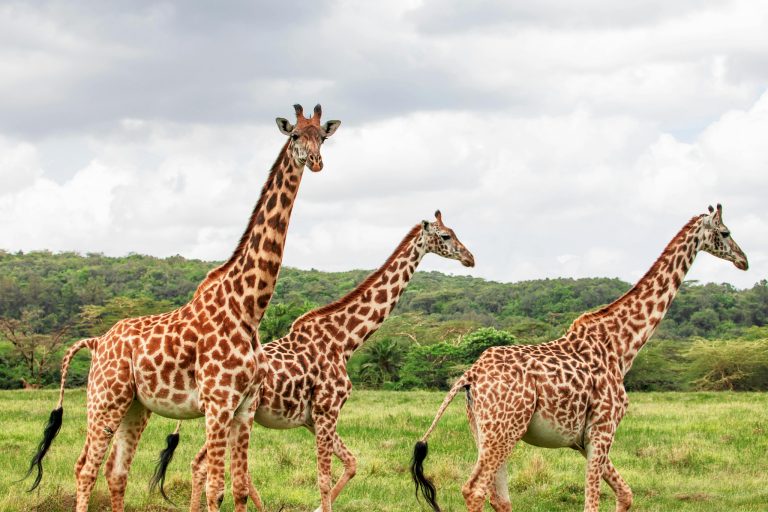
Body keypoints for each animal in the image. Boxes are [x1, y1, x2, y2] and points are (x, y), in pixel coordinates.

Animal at [24, 104, 341, 512]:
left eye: (323, 136)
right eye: (295, 136)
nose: (316, 162)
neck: (248, 308)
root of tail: (96, 342)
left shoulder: (244, 407)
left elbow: (239, 488)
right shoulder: (218, 403)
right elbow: (215, 488)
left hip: (134, 406)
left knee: (116, 472)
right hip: (104, 400)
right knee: (85, 469)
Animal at [152, 211, 475, 512]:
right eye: (445, 236)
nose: (470, 258)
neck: (344, 341)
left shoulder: (312, 418)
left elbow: (351, 463)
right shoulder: (327, 410)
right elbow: (324, 478)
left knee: (205, 465)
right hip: (231, 412)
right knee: (205, 465)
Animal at [411, 204, 748, 512]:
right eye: (726, 232)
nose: (743, 260)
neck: (622, 346)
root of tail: (471, 375)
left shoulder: (583, 439)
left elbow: (626, 495)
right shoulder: (603, 429)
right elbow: (592, 504)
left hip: (486, 430)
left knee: (499, 497)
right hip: (505, 428)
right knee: (475, 490)